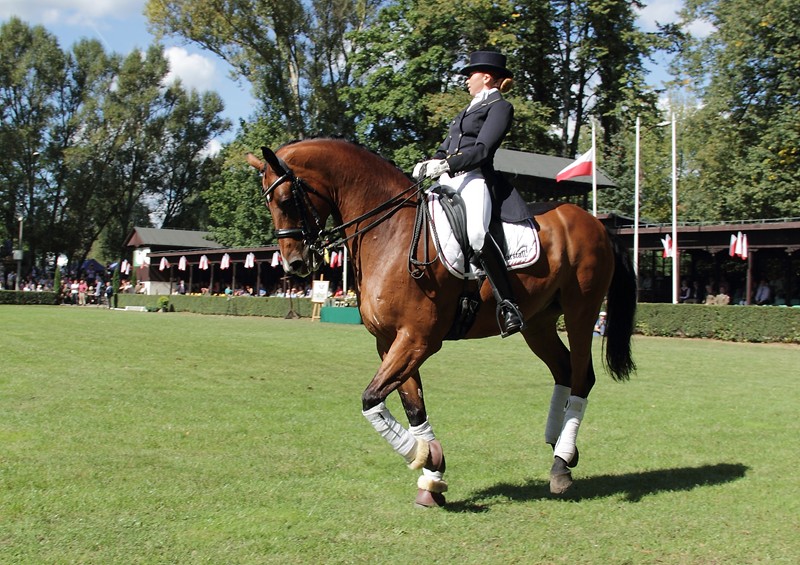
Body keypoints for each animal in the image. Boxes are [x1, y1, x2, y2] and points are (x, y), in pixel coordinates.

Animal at [247, 138, 636, 506]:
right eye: (269, 203)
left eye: (286, 199)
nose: (294, 264)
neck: (390, 233)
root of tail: (594, 223)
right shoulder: (390, 341)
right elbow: (411, 405)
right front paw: (432, 473)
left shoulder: (417, 339)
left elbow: (371, 398)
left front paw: (419, 456)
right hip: (538, 323)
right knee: (564, 370)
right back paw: (560, 447)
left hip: (581, 311)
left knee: (582, 376)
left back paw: (561, 462)